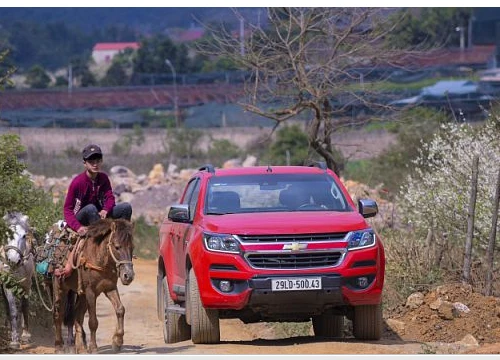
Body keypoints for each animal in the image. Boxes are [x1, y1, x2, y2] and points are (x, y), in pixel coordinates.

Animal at [52, 218, 135, 352]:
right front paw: (93, 347)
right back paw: (59, 346)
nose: (128, 275)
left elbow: (120, 309)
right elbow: (93, 321)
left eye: (132, 247)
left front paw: (117, 341)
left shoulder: (110, 288)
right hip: (60, 287)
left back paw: (80, 347)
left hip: (81, 294)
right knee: (58, 314)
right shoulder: (90, 292)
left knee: (77, 314)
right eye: (117, 247)